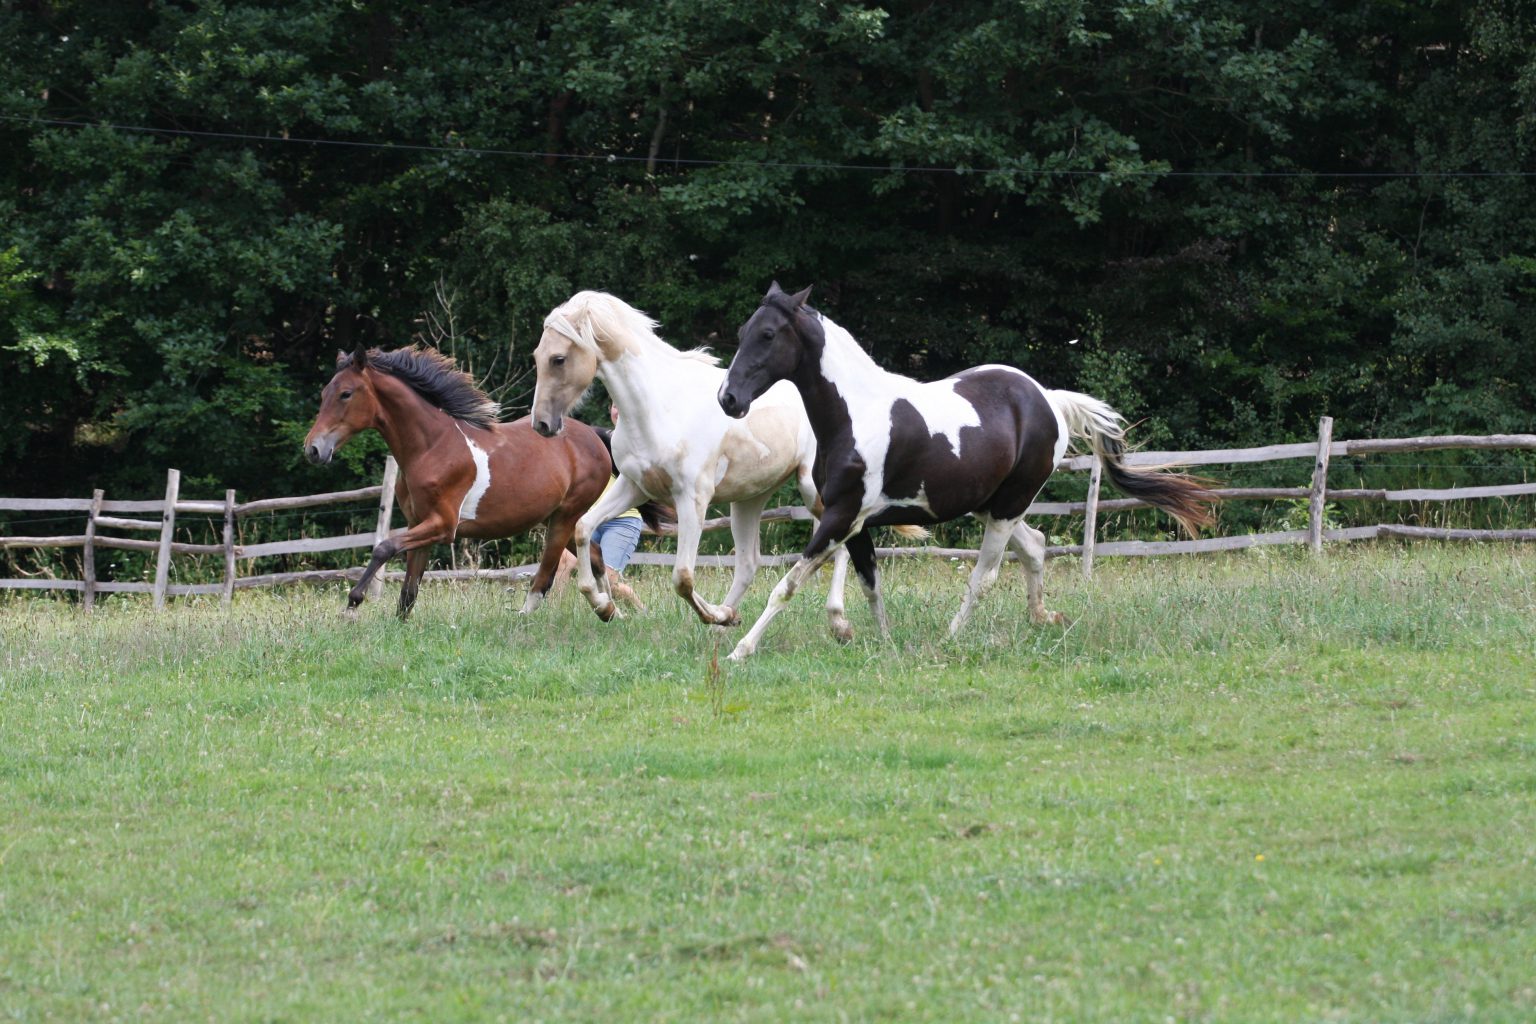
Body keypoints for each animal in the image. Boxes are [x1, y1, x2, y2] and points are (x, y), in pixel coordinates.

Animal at [302, 346, 614, 617]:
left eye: (346, 393)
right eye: (324, 393)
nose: (313, 450)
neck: (431, 447)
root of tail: (594, 435)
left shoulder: (443, 525)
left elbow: (383, 548)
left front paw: (352, 605)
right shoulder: (419, 525)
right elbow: (408, 593)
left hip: (565, 517)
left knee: (545, 578)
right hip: (558, 518)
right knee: (597, 558)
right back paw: (610, 610)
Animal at [528, 290, 872, 632]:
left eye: (558, 359)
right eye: (536, 355)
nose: (542, 424)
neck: (658, 406)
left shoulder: (692, 498)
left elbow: (682, 577)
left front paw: (713, 615)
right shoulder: (634, 486)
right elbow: (583, 528)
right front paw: (603, 606)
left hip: (813, 490)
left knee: (840, 546)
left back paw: (838, 622)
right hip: (749, 498)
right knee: (749, 564)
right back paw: (728, 620)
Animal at [712, 284, 1216, 660]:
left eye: (769, 334)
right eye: (742, 330)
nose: (728, 399)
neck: (856, 414)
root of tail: (1049, 399)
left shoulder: (841, 517)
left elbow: (787, 585)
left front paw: (740, 649)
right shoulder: (853, 521)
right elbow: (870, 585)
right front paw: (884, 642)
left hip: (1008, 506)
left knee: (985, 576)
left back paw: (951, 637)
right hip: (990, 505)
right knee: (1035, 546)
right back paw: (1043, 617)